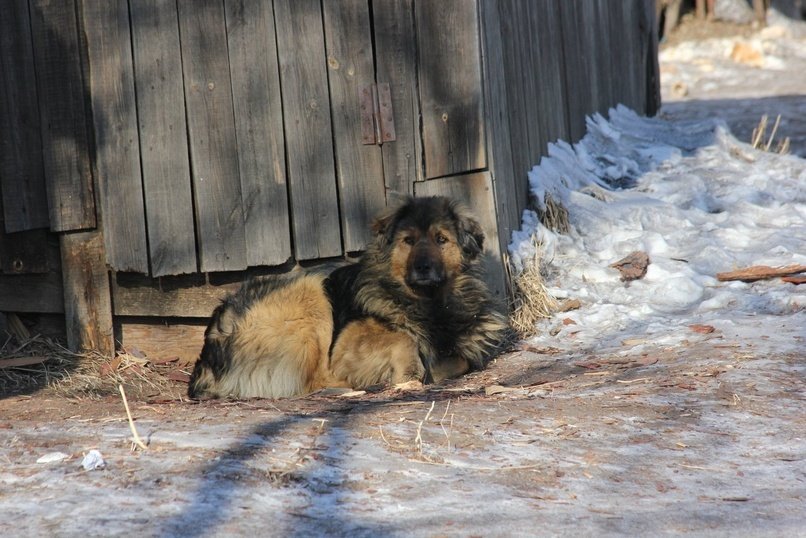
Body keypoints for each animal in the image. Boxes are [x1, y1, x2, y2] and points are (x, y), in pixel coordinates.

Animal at [188, 195, 512, 396]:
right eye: (408, 241)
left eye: (441, 239)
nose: (422, 267)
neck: (428, 304)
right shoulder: (345, 346)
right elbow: (404, 338)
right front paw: (409, 373)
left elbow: (460, 359)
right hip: (312, 296)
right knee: (316, 378)